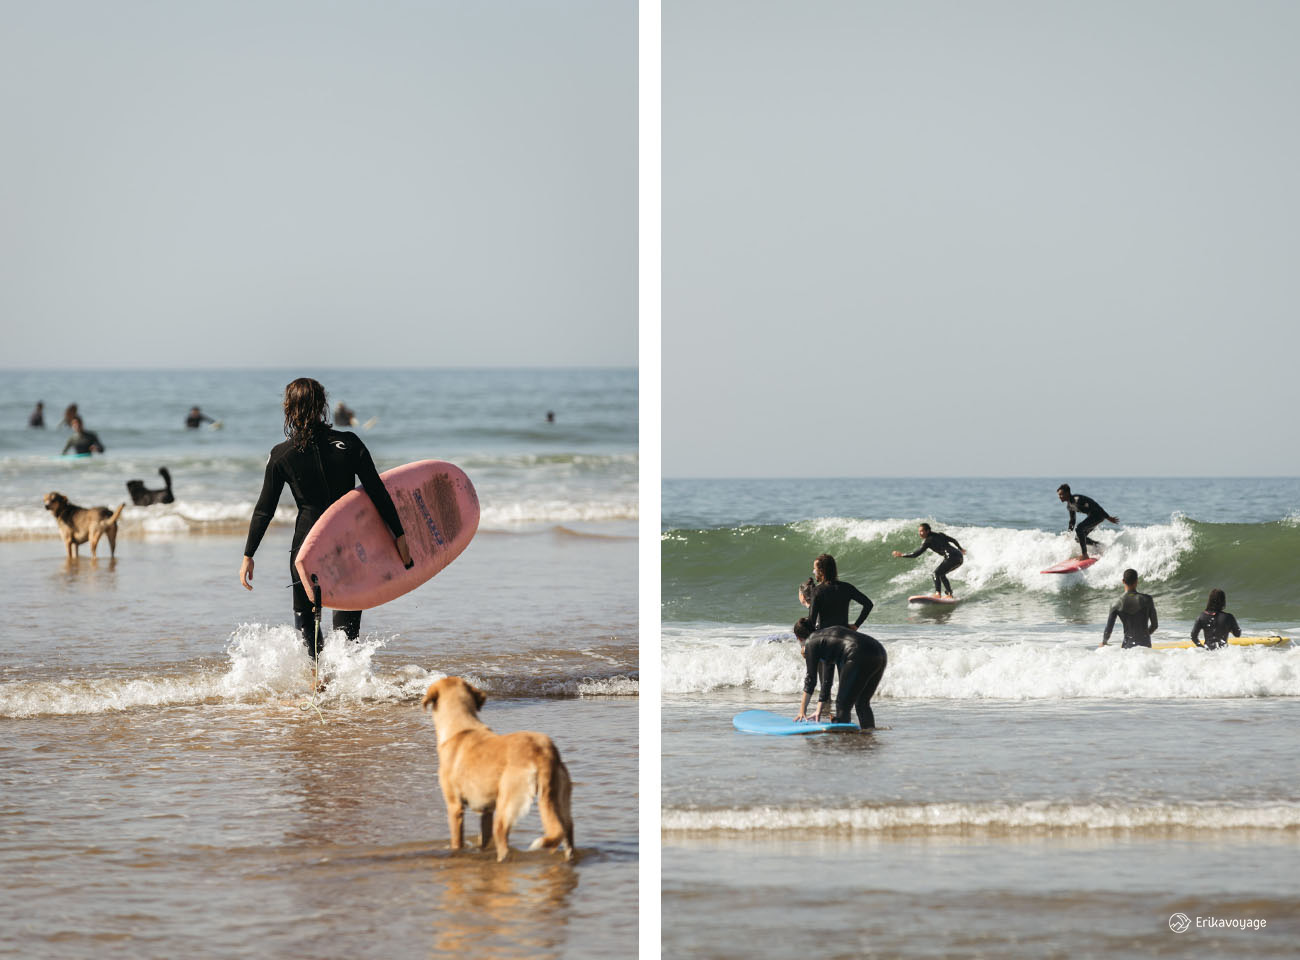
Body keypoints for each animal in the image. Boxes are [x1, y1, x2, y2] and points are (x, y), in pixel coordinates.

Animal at [421, 671, 574, 858]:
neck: (461, 727)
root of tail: (543, 751)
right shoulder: (486, 810)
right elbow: (484, 838)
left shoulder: (455, 806)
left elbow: (457, 841)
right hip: (559, 802)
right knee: (567, 832)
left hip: (508, 803)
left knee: (503, 842)